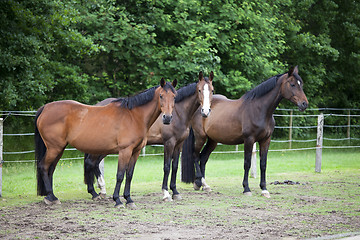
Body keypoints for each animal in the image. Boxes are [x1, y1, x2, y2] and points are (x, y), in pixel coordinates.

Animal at [34, 79, 178, 208]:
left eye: (174, 96)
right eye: (161, 96)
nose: (167, 118)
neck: (134, 116)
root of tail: (45, 108)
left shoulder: (135, 152)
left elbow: (129, 175)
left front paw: (129, 200)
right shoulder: (125, 151)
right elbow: (120, 175)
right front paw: (118, 201)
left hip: (59, 149)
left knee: (51, 169)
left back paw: (51, 197)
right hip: (54, 148)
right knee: (43, 166)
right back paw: (52, 197)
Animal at [84, 71, 214, 201]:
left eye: (212, 90)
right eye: (199, 90)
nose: (205, 111)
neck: (178, 113)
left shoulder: (178, 144)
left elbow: (175, 167)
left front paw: (175, 192)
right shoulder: (169, 143)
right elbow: (167, 167)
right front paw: (166, 193)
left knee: (94, 163)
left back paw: (101, 191)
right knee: (90, 162)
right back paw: (95, 192)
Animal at [181, 66, 308, 198]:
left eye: (301, 84)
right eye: (293, 84)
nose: (304, 104)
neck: (259, 110)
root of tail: (200, 108)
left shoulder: (265, 140)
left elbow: (263, 164)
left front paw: (264, 189)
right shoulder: (249, 140)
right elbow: (247, 163)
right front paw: (246, 188)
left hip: (213, 140)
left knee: (203, 158)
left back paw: (204, 185)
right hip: (201, 137)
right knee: (195, 155)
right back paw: (199, 183)